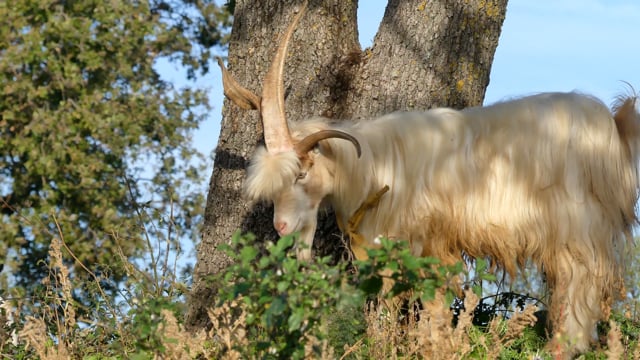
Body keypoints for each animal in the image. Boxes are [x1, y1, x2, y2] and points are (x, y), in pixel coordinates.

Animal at [216, 3, 640, 354]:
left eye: (302, 173)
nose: (282, 227)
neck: (375, 166)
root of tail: (612, 126)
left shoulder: (423, 240)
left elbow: (419, 304)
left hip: (579, 229)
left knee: (580, 292)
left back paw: (564, 347)